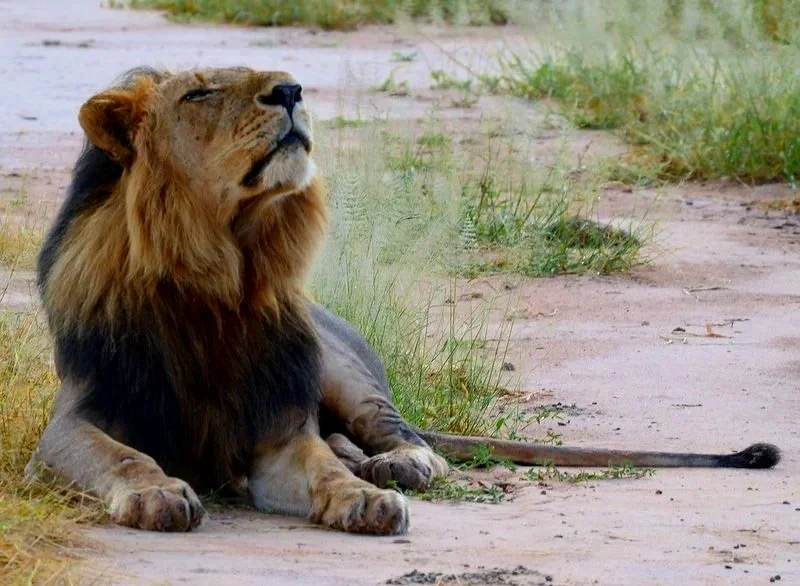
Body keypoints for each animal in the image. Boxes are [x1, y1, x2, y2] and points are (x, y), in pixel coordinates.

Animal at [27, 66, 780, 536]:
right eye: (201, 91)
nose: (291, 88)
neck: (220, 271)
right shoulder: (70, 427)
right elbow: (124, 457)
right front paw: (157, 492)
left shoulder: (278, 430)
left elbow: (321, 467)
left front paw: (363, 498)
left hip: (338, 363)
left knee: (397, 432)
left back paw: (397, 465)